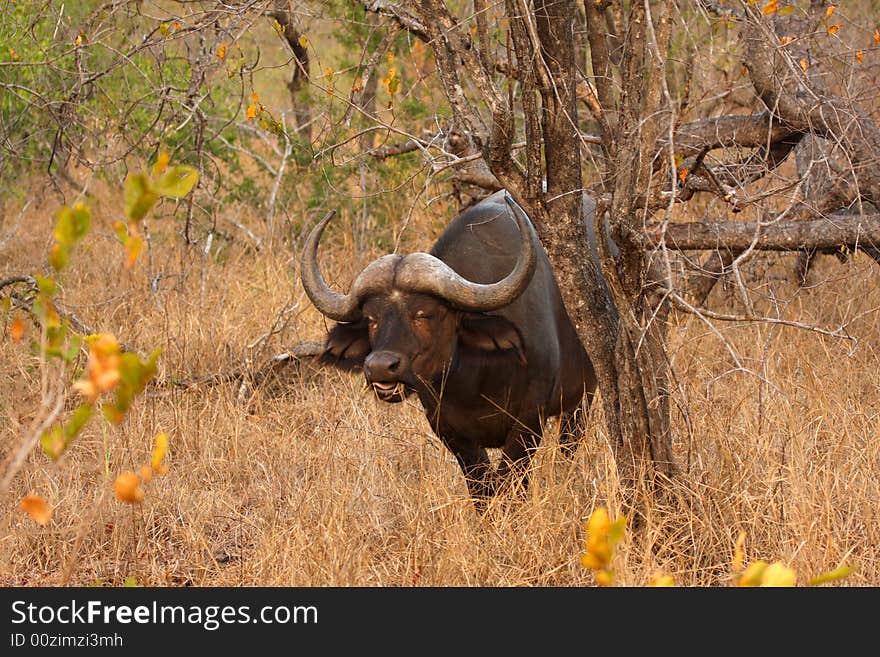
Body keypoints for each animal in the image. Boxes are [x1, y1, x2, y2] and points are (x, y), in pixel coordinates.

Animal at [302, 190, 600, 502]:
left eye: (425, 314)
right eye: (372, 319)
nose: (380, 367)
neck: (477, 380)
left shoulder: (529, 422)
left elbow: (511, 484)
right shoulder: (450, 431)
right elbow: (481, 487)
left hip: (581, 400)